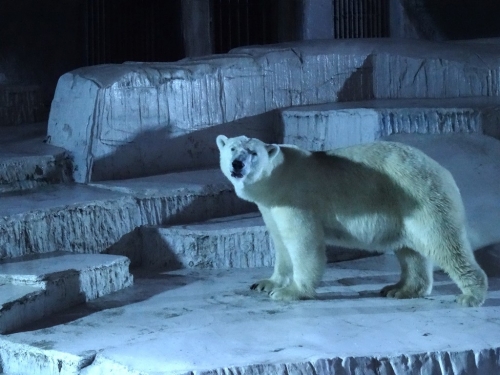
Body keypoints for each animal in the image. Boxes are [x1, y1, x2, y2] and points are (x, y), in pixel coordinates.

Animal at [216, 135, 488, 308]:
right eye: (232, 149)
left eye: (253, 153)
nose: (237, 164)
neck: (278, 176)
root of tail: (443, 170)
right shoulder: (270, 206)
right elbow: (281, 243)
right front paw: (265, 283)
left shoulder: (296, 198)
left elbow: (303, 242)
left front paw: (290, 292)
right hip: (403, 210)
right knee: (410, 250)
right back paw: (399, 289)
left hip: (420, 197)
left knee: (443, 242)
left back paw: (471, 295)